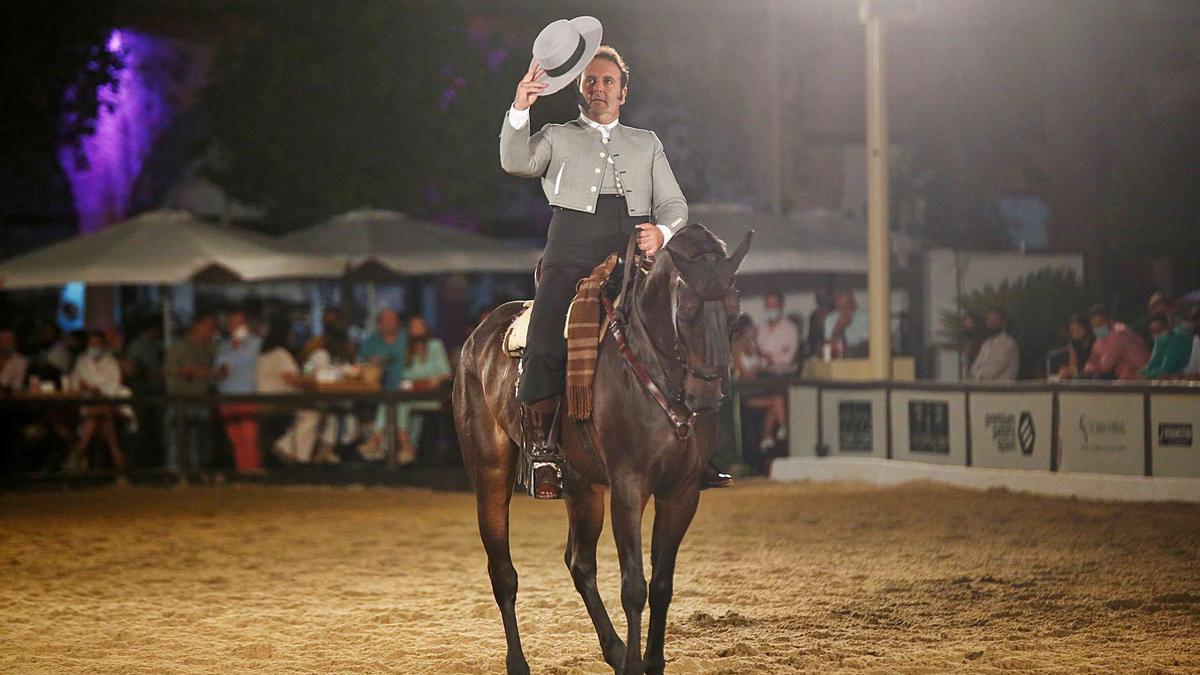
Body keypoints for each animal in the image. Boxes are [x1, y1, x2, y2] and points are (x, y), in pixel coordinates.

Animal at [451, 223, 748, 667]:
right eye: (688, 309)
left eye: (735, 313)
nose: (707, 396)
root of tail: (479, 336)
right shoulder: (628, 488)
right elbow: (634, 587)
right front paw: (636, 665)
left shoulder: (681, 493)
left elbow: (661, 584)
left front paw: (649, 662)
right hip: (490, 474)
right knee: (503, 572)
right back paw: (520, 662)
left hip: (583, 488)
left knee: (579, 563)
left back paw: (614, 649)